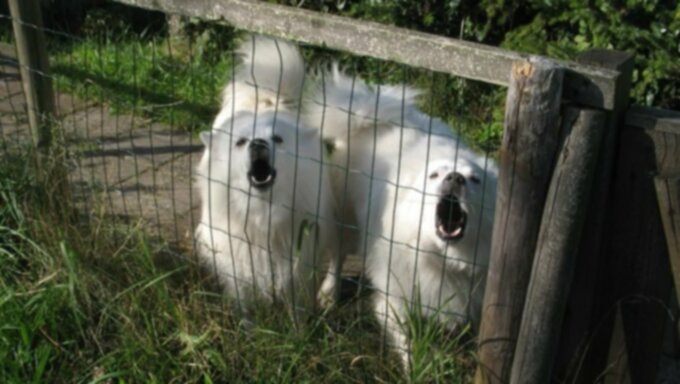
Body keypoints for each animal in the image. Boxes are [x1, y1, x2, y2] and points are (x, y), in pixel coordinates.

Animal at [194, 36, 342, 318]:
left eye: (278, 139)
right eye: (241, 142)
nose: (258, 144)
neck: (263, 210)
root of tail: (264, 99)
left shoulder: (299, 257)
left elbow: (296, 302)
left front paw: (298, 327)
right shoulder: (237, 256)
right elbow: (243, 302)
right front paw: (247, 325)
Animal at [306, 68, 496, 368]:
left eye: (475, 179)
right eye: (434, 175)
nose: (455, 178)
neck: (443, 258)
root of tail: (367, 119)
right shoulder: (395, 299)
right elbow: (409, 344)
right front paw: (417, 368)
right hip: (344, 217)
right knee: (337, 256)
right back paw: (328, 293)